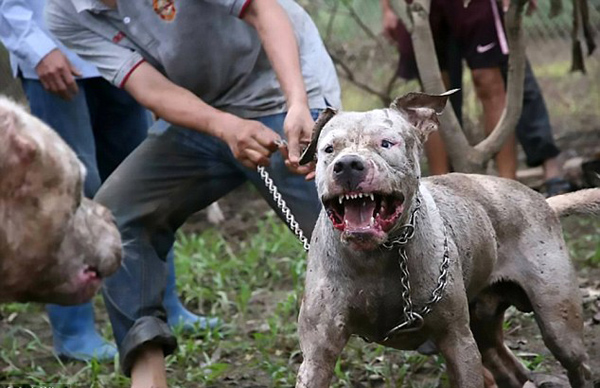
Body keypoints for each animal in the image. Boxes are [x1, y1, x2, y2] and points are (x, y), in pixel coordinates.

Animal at [296, 91, 600, 388]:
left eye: (386, 143)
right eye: (329, 149)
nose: (347, 165)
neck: (377, 254)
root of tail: (543, 200)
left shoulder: (458, 341)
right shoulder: (317, 355)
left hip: (558, 324)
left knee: (579, 366)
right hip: (485, 327)